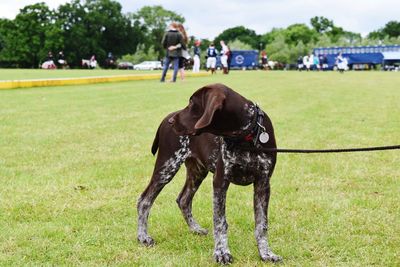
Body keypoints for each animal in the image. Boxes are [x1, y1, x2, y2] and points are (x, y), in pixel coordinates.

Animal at [138, 84, 282, 266]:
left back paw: (195, 228)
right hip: (167, 167)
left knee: (183, 199)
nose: (172, 122)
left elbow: (261, 224)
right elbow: (220, 222)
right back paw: (143, 237)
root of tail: (165, 118)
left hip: (197, 171)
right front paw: (222, 252)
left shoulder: (263, 183)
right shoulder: (220, 181)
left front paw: (266, 254)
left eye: (192, 103)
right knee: (144, 200)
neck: (245, 136)